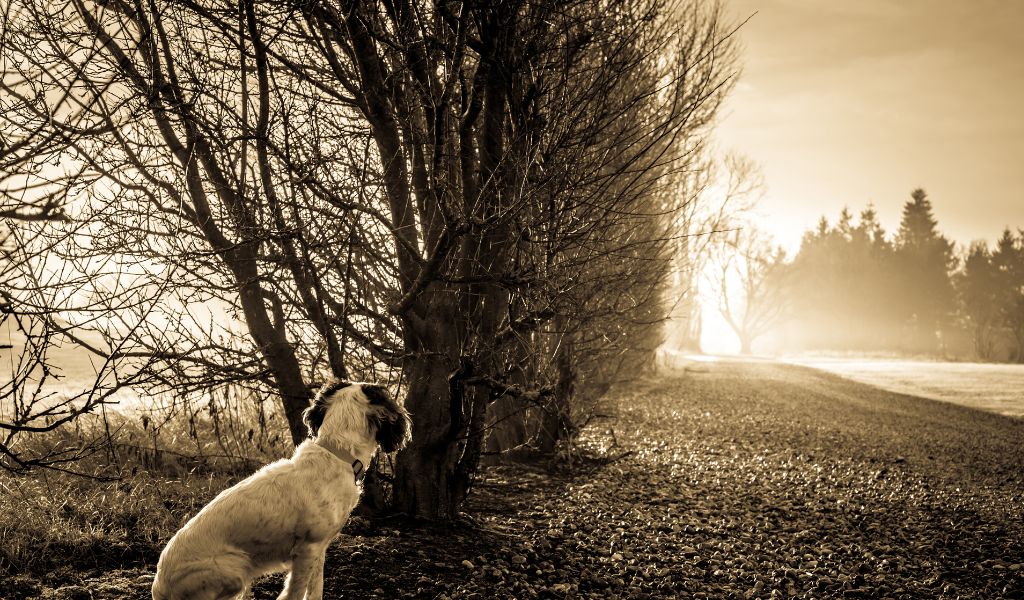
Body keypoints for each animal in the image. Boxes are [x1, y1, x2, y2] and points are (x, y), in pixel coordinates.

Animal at [151, 380, 407, 597]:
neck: (337, 453)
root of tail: (158, 588)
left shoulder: (320, 548)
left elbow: (315, 590)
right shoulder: (307, 549)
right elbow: (294, 592)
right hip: (236, 569)